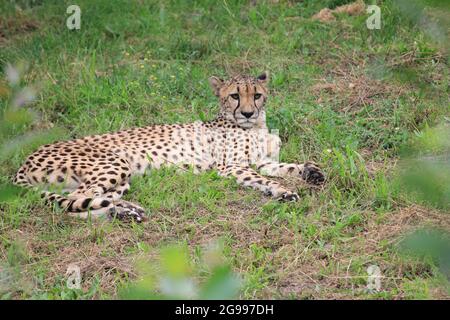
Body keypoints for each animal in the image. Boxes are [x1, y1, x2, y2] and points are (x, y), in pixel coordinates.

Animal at [13, 72, 324, 222]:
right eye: (235, 96)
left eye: (257, 95)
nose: (247, 113)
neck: (255, 126)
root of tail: (25, 160)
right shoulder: (231, 166)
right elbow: (263, 179)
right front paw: (283, 191)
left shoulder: (263, 161)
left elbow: (287, 167)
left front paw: (311, 171)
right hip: (113, 163)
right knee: (73, 202)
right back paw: (122, 212)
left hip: (119, 179)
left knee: (87, 198)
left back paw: (124, 211)